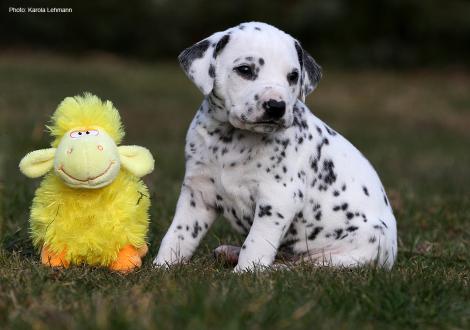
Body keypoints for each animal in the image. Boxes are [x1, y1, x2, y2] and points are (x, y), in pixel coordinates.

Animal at [153, 22, 396, 270]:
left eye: (293, 76)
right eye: (245, 70)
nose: (276, 106)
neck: (232, 141)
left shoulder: (278, 199)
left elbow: (256, 242)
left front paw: (245, 272)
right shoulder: (198, 194)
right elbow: (178, 234)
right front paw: (162, 266)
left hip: (358, 246)